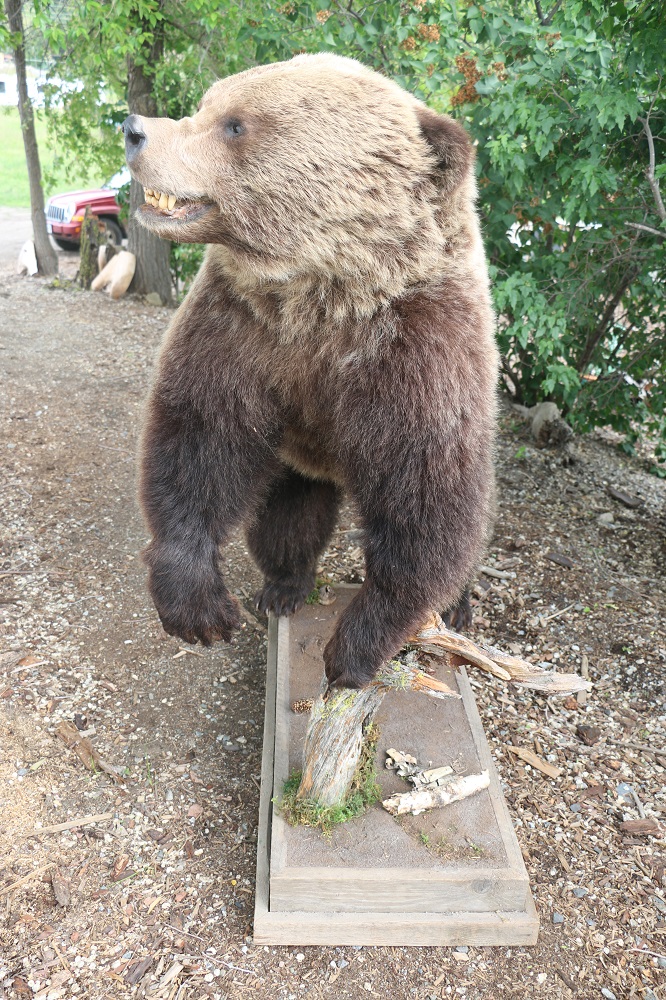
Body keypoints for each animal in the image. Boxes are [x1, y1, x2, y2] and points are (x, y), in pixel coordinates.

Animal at [123, 52, 498, 688]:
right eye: (205, 105)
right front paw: (199, 609)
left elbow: (430, 498)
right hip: (299, 456)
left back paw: (458, 605)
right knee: (289, 516)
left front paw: (355, 649)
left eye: (235, 125)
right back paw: (283, 586)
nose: (134, 130)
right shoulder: (242, 327)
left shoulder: (420, 351)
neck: (324, 297)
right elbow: (198, 437)